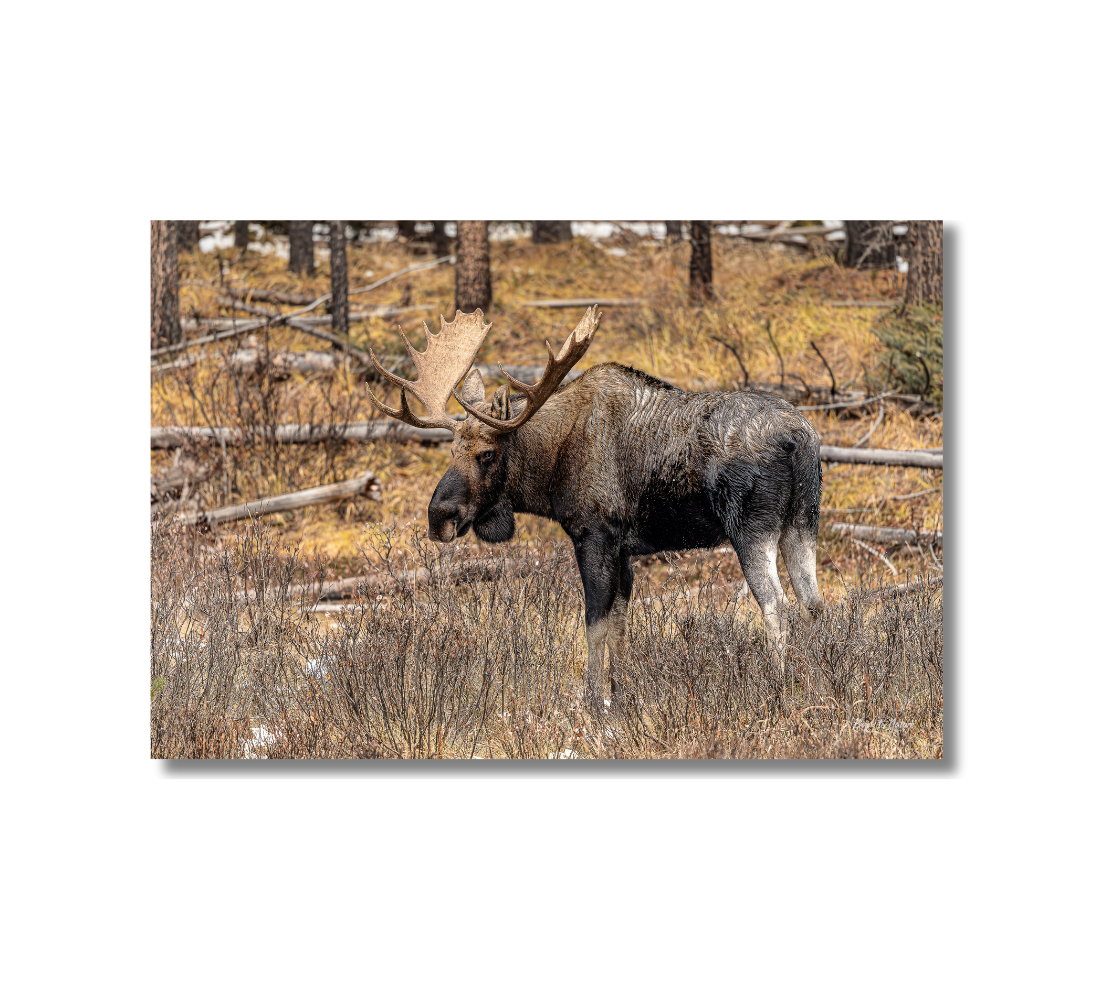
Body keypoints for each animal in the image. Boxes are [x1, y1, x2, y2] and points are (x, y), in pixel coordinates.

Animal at [366, 306, 825, 712]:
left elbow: (593, 622)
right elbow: (620, 621)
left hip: (751, 528)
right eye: (450, 450)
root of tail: (798, 439)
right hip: (802, 522)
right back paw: (821, 677)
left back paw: (777, 688)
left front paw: (591, 702)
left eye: (487, 455)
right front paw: (619, 696)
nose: (438, 517)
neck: (549, 470)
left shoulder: (594, 535)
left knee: (776, 604)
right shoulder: (624, 549)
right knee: (814, 602)